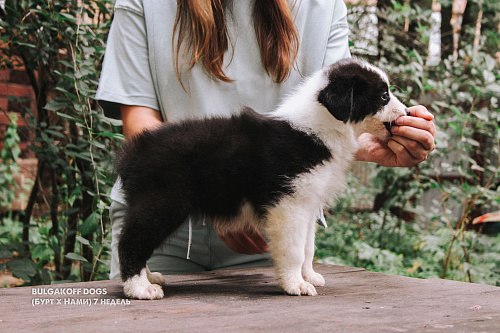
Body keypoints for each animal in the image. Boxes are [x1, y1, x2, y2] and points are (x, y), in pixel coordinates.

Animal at [117, 58, 410, 300]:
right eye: (383, 95)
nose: (407, 113)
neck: (319, 128)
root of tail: (133, 151)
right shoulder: (288, 204)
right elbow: (294, 249)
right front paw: (295, 284)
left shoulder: (307, 203)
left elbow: (308, 247)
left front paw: (309, 276)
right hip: (163, 201)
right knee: (131, 241)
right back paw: (139, 288)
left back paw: (150, 277)